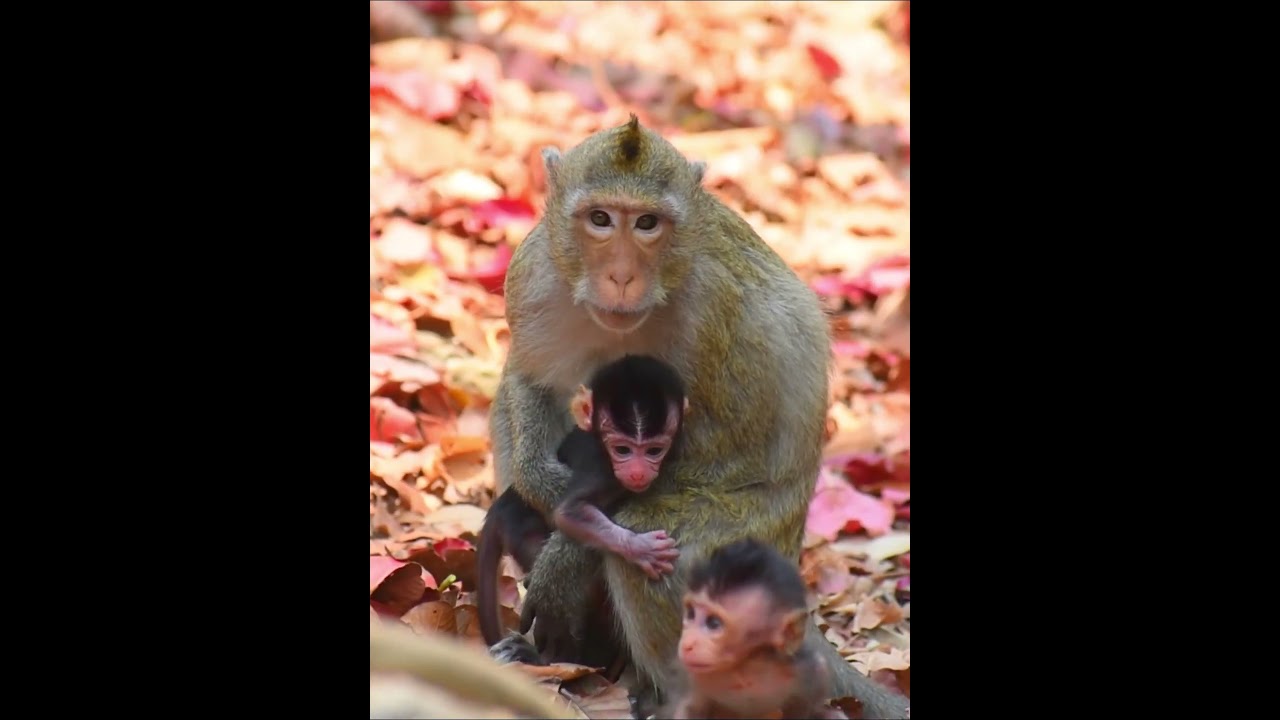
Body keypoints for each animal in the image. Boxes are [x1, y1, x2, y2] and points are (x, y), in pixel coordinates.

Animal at [477, 354, 688, 647]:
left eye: (654, 450)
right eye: (622, 449)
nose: (637, 472)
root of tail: (501, 506)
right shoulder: (604, 471)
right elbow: (570, 512)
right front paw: (640, 548)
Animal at [660, 538, 847, 720]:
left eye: (713, 623)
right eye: (691, 613)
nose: (687, 644)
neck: (746, 668)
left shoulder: (805, 669)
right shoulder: (694, 677)